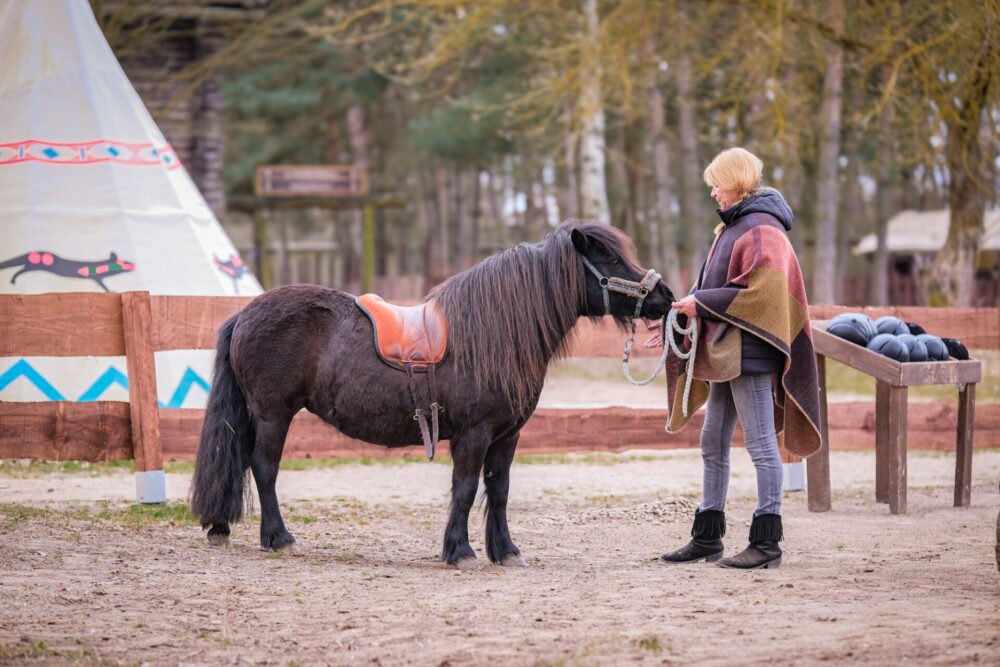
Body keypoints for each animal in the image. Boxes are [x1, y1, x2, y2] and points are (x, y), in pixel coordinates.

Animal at [189, 219, 675, 570]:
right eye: (610, 258)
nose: (666, 296)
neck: (490, 331)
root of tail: (244, 314)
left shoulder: (507, 437)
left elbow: (498, 490)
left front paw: (506, 551)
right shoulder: (473, 435)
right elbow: (465, 489)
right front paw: (460, 552)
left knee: (239, 460)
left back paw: (221, 529)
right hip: (274, 414)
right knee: (263, 467)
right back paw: (278, 538)